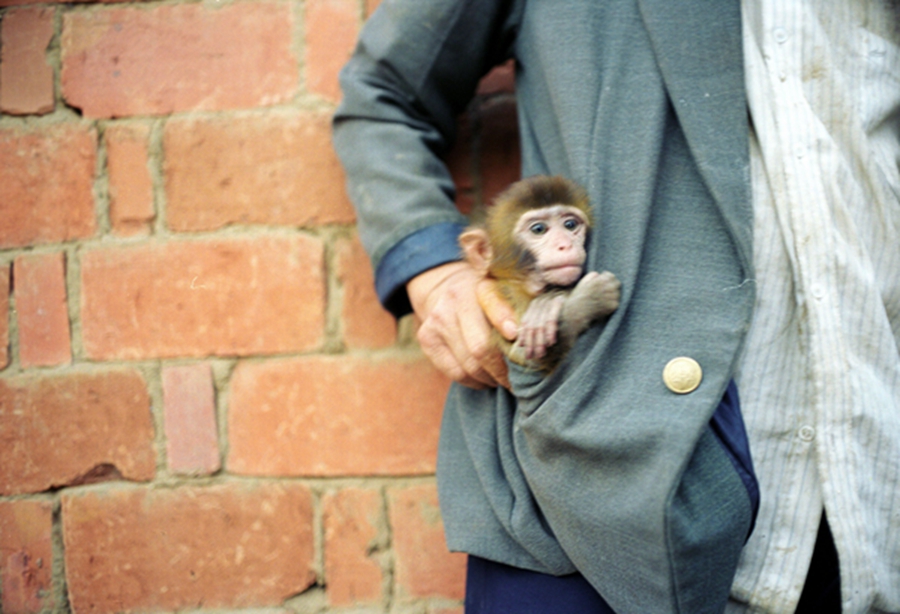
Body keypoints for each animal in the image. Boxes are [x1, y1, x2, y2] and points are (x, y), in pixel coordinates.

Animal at [460, 176, 624, 372]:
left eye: (570, 225)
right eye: (538, 229)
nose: (564, 245)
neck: (523, 286)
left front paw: (549, 301)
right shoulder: (512, 298)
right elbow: (528, 357)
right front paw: (585, 301)